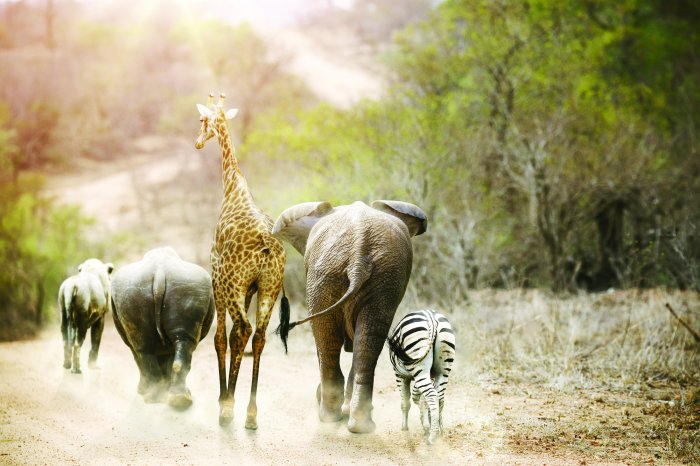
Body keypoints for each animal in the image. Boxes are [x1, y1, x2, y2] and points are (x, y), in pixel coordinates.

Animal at [195, 93, 289, 429]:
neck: (232, 185)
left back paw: (229, 409)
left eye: (202, 120)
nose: (197, 142)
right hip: (269, 288)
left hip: (236, 285)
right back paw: (250, 413)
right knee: (258, 336)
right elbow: (236, 338)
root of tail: (266, 248)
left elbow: (221, 338)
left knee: (244, 331)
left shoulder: (217, 275)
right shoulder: (249, 288)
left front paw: (223, 400)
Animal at [387, 309, 455, 444]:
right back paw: (438, 429)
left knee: (432, 395)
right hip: (443, 369)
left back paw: (432, 437)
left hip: (419, 365)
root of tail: (432, 318)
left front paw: (405, 427)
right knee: (439, 397)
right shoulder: (430, 376)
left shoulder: (400, 375)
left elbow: (405, 402)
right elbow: (419, 398)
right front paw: (428, 423)